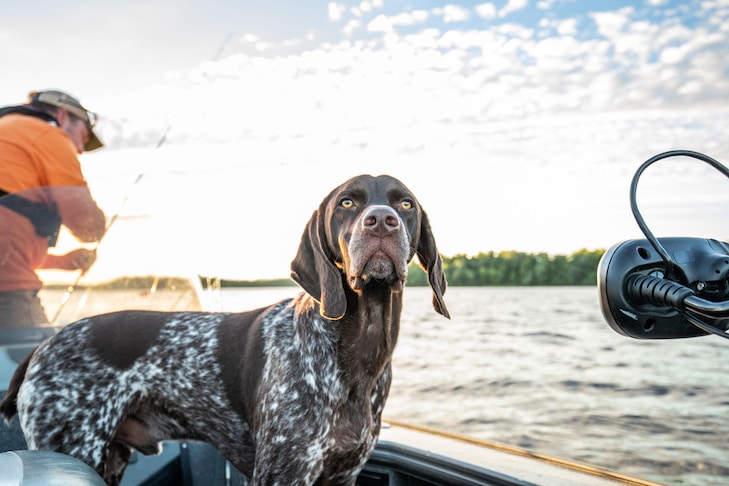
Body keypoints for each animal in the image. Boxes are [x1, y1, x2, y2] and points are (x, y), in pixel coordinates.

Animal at [0, 175, 446, 486]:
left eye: (405, 203)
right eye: (347, 202)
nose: (382, 221)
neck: (358, 353)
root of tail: (42, 346)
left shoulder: (343, 473)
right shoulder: (283, 472)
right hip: (73, 444)